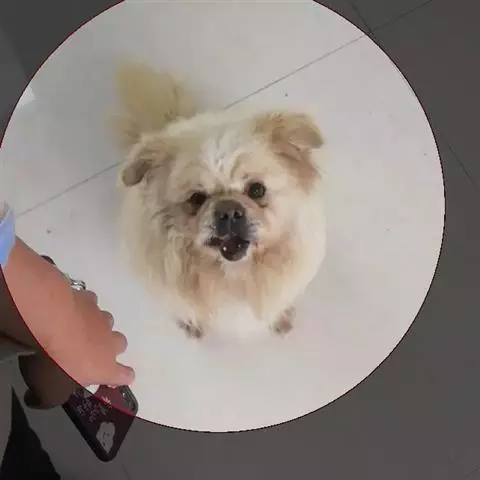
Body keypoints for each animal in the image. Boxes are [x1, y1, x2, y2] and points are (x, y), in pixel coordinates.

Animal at [113, 63, 327, 339]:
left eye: (256, 190)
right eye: (196, 199)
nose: (229, 210)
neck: (233, 277)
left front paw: (281, 318)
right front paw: (191, 324)